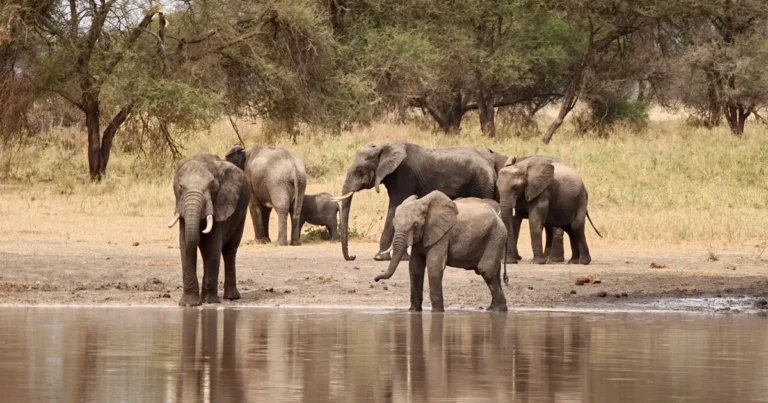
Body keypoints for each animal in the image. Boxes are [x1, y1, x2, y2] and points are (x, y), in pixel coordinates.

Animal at [168, 154, 250, 306]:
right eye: (181, 186)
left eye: (212, 186)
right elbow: (185, 244)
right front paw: (189, 304)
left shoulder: (220, 204)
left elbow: (212, 247)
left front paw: (209, 302)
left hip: (242, 210)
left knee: (230, 250)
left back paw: (232, 297)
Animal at [333, 142, 496, 261]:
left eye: (360, 170)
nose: (352, 257)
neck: (384, 146)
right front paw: (403, 257)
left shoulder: (404, 175)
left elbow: (395, 207)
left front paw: (379, 257)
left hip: (481, 183)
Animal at [373, 191, 508, 312]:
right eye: (394, 224)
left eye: (415, 225)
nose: (376, 279)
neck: (423, 203)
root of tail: (498, 215)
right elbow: (415, 267)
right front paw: (413, 311)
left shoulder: (442, 235)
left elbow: (434, 266)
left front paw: (437, 312)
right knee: (495, 271)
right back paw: (493, 309)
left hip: (496, 234)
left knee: (486, 269)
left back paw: (499, 310)